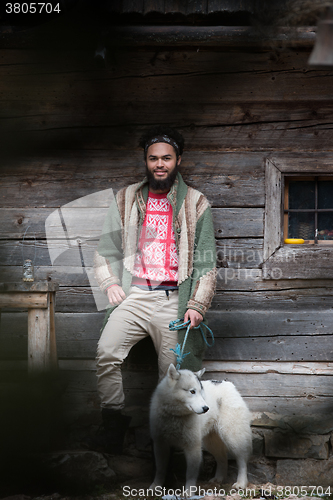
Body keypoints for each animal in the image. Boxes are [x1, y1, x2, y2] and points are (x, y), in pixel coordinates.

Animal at [149, 364, 250, 492]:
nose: (206, 408)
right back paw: (218, 479)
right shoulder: (160, 444)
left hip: (232, 437)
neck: (176, 415)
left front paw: (189, 491)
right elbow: (160, 469)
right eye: (192, 391)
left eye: (201, 393)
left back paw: (241, 483)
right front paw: (156, 486)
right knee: (222, 458)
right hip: (211, 443)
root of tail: (226, 383)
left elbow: (190, 474)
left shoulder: (193, 446)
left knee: (242, 460)